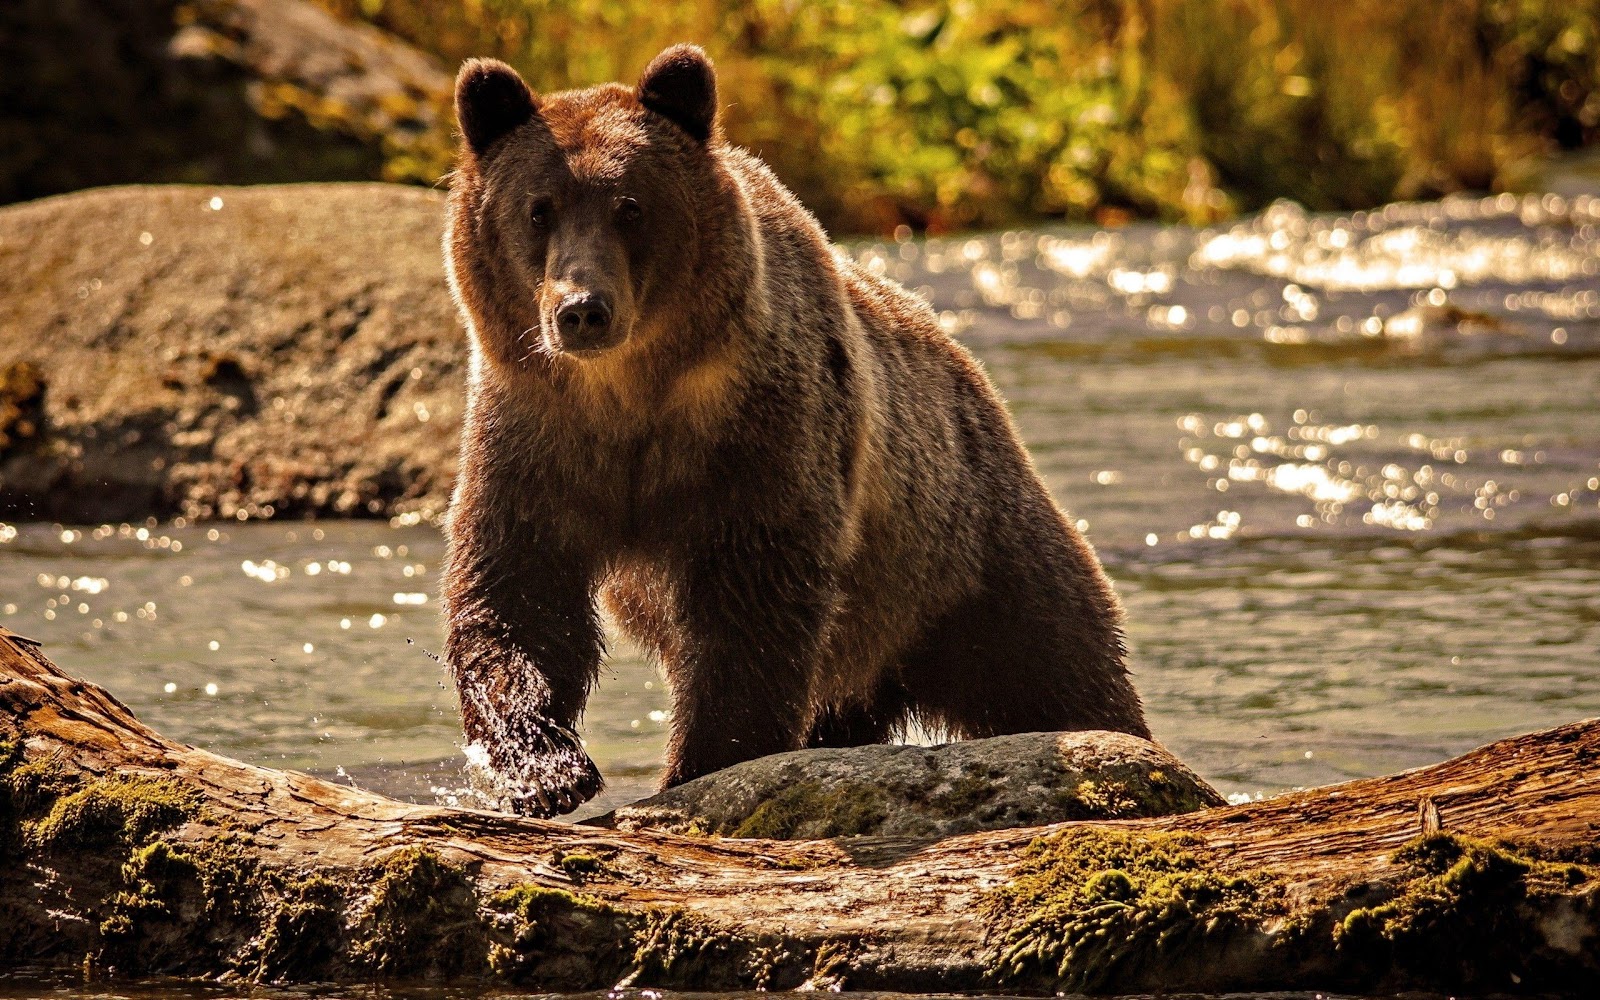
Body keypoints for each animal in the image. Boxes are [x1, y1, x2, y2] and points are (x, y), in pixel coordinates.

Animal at [441, 44, 1150, 817]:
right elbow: (518, 591)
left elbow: (751, 607)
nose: (581, 309)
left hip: (965, 553)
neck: (629, 395)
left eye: (629, 205)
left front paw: (700, 764)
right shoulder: (536, 434)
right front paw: (542, 768)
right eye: (538, 208)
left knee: (1055, 664)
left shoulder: (760, 434)